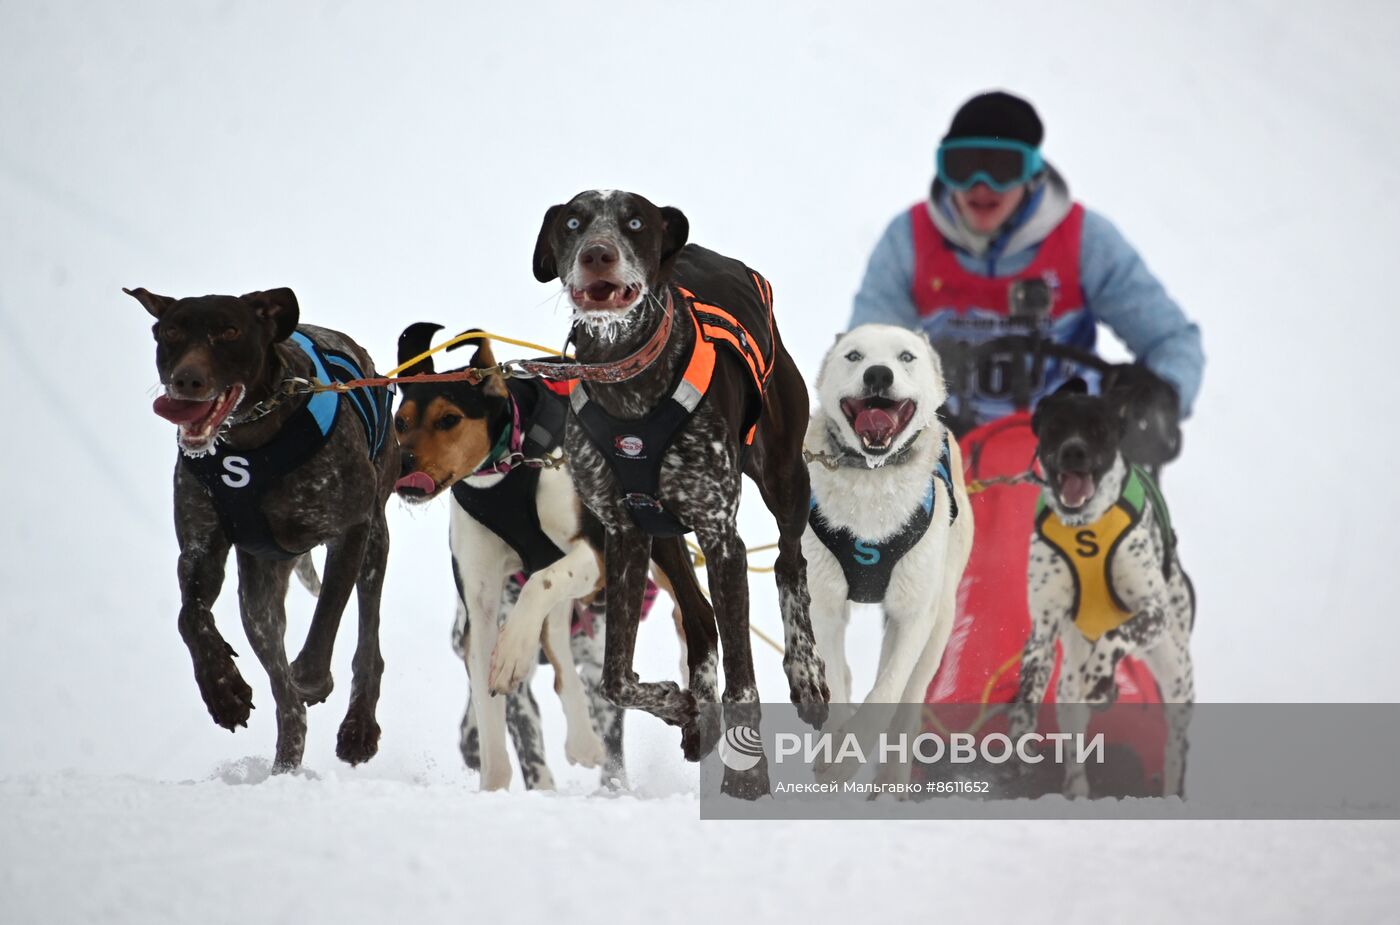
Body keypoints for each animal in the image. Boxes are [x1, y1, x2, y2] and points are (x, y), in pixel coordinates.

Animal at [129, 285, 397, 766]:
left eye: (230, 332)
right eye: (172, 332)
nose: (186, 380)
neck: (251, 440)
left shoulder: (352, 528)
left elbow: (328, 613)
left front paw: (311, 675)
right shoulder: (201, 550)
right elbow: (189, 616)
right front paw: (223, 689)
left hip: (375, 545)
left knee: (367, 642)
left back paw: (357, 725)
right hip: (258, 595)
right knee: (285, 698)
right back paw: (285, 759)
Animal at [529, 187, 823, 778]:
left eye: (635, 222)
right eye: (573, 222)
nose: (597, 253)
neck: (626, 383)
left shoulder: (720, 535)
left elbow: (744, 680)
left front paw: (748, 776)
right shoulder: (624, 533)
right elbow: (615, 680)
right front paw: (682, 703)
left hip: (784, 476)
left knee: (789, 562)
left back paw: (805, 676)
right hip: (662, 533)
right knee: (701, 616)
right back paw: (698, 713)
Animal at [806, 324, 968, 722]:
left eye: (906, 357)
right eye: (854, 356)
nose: (878, 374)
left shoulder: (912, 615)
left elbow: (886, 692)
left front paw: (859, 737)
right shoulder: (824, 606)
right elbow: (835, 685)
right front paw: (837, 736)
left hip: (939, 617)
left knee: (911, 694)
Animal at [1013, 375, 1198, 794]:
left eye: (1099, 429)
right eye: (1055, 427)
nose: (1073, 452)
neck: (1084, 525)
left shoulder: (1153, 612)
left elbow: (1116, 636)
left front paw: (1100, 677)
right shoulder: (1044, 628)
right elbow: (1028, 686)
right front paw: (1020, 730)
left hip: (1176, 674)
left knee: (1175, 745)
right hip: (1068, 689)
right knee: (1075, 745)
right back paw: (1076, 787)